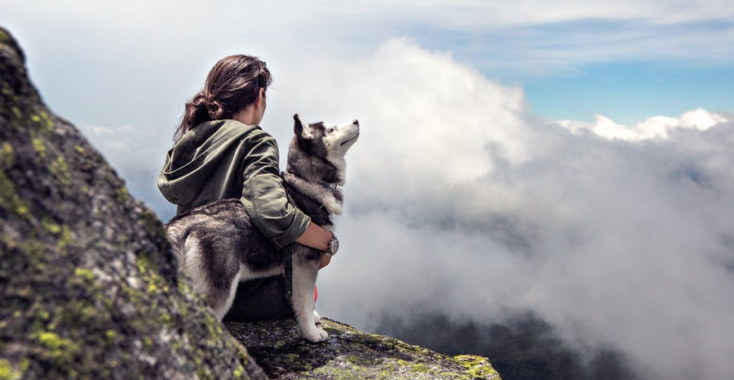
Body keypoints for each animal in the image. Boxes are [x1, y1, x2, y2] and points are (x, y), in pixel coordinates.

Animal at [167, 114, 362, 342]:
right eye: (331, 129)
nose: (356, 120)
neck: (304, 184)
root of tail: (183, 222)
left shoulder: (292, 268)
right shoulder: (305, 262)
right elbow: (304, 300)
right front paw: (311, 333)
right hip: (219, 288)